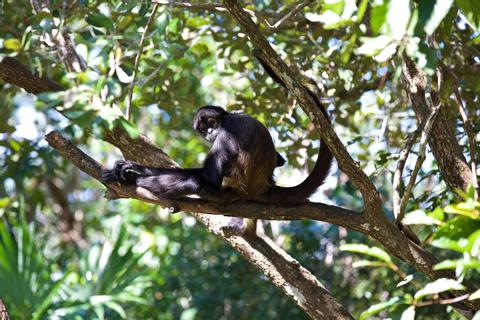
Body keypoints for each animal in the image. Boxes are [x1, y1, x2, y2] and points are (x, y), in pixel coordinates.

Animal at [101, 48, 334, 236]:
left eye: (212, 122)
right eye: (204, 129)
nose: (211, 131)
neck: (227, 117)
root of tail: (261, 187)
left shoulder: (228, 129)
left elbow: (209, 177)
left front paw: (135, 172)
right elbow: (280, 161)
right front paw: (131, 168)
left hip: (230, 191)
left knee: (196, 182)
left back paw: (135, 182)